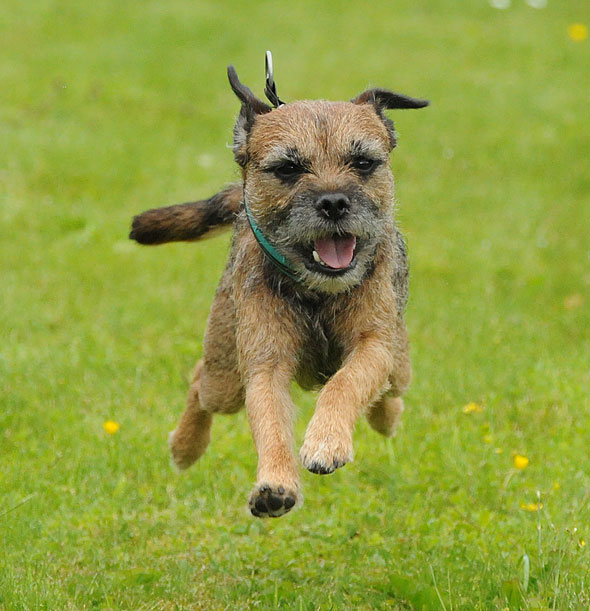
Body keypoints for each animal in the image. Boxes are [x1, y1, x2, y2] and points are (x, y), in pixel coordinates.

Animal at [130, 62, 428, 518]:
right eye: (288, 168)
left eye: (362, 163)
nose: (334, 202)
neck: (319, 292)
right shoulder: (264, 363)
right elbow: (269, 420)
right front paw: (276, 484)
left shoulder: (375, 343)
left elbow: (346, 382)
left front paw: (326, 442)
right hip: (225, 374)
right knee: (201, 380)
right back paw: (184, 447)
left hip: (400, 362)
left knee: (389, 389)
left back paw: (387, 416)